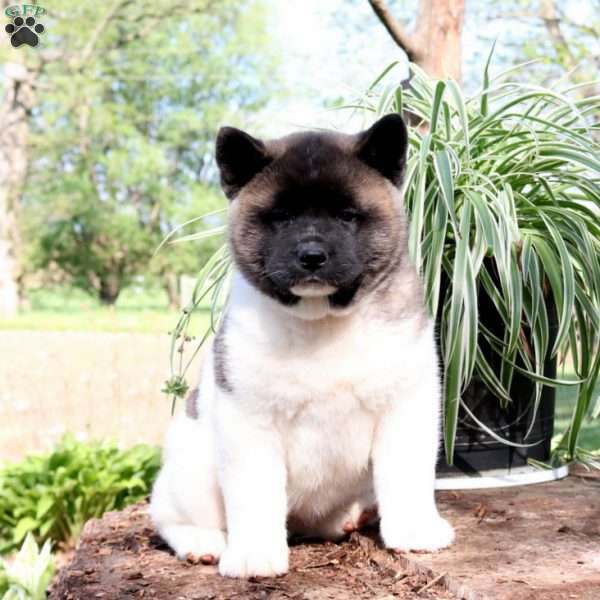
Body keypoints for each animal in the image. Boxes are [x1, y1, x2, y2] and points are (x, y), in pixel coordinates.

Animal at [151, 112, 454, 576]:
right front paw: (255, 555)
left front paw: (415, 530)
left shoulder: (405, 408)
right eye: (281, 216)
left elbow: (407, 476)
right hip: (191, 465)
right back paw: (203, 542)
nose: (312, 255)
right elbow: (254, 494)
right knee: (169, 517)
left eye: (347, 215)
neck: (321, 322)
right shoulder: (249, 422)